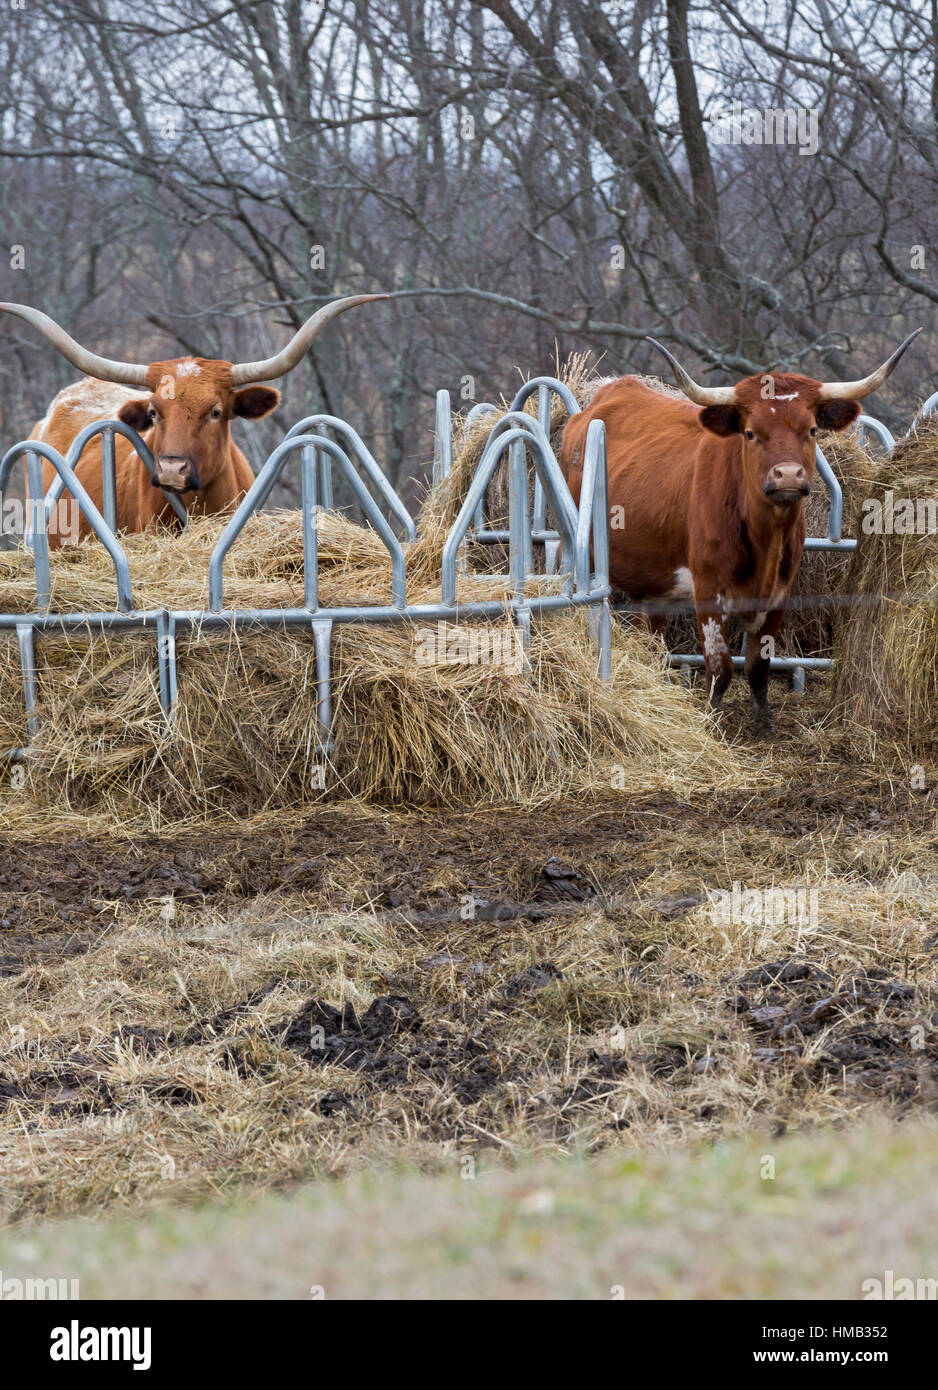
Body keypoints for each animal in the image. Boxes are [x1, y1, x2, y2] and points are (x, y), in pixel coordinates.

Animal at [561, 332, 922, 733]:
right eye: (750, 433)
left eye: (811, 430)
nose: (788, 475)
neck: (764, 539)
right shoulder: (708, 590)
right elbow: (720, 667)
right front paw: (713, 718)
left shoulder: (780, 592)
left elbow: (758, 665)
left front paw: (763, 720)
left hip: (657, 584)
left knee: (652, 635)